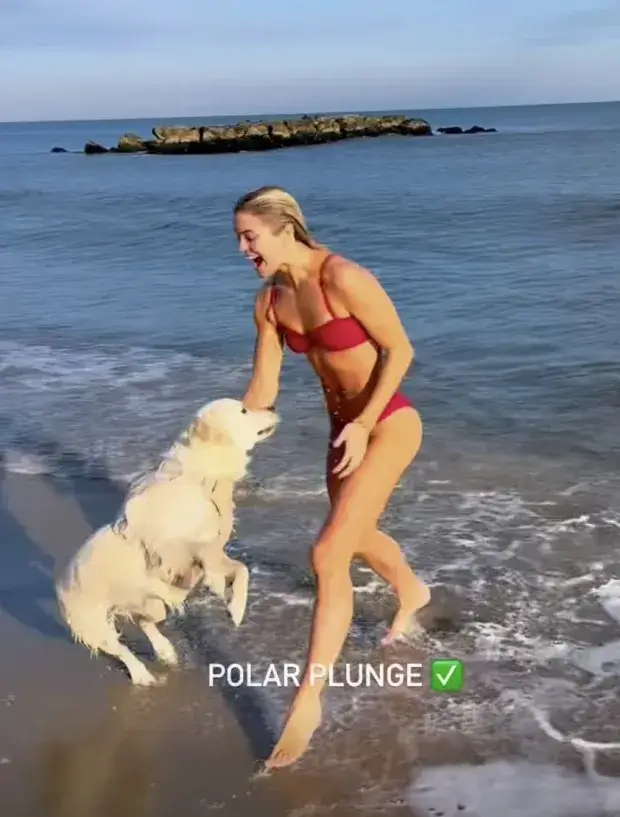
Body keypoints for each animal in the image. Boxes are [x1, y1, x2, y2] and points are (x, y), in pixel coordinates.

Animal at [55, 398, 278, 684]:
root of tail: (58, 584)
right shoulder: (177, 549)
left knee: (145, 621)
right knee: (119, 648)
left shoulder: (210, 549)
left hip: (149, 603)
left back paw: (165, 651)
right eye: (243, 410)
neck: (199, 476)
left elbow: (236, 569)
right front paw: (236, 609)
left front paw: (225, 596)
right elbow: (238, 568)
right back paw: (142, 675)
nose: (272, 407)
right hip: (92, 623)